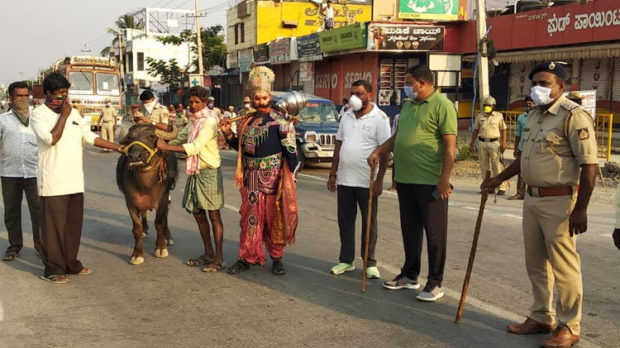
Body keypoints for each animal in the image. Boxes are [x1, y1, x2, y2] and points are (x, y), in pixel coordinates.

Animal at [116, 124, 177, 264]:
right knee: (143, 214)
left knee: (165, 216)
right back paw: (145, 229)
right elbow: (136, 228)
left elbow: (159, 223)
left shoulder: (162, 200)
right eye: (130, 138)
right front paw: (137, 254)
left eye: (152, 136)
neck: (146, 185)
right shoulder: (130, 202)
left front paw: (160, 248)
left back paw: (168, 237)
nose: (135, 156)